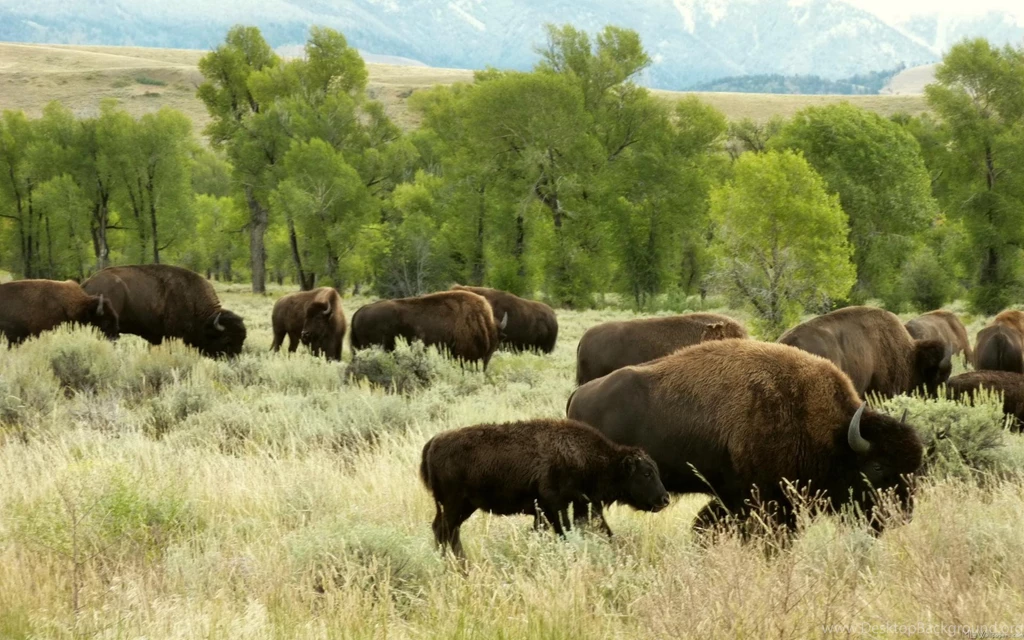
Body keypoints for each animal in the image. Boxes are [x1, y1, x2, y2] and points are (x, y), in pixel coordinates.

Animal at [82, 264, 246, 358]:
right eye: (226, 339)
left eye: (242, 339)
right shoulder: (171, 335)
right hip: (108, 329)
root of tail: (87, 283)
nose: (234, 359)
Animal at [420, 418, 670, 557]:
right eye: (646, 473)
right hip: (453, 504)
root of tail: (434, 442)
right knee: (444, 530)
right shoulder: (555, 507)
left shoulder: (569, 507)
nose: (665, 499)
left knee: (448, 531)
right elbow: (564, 532)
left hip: (464, 506)